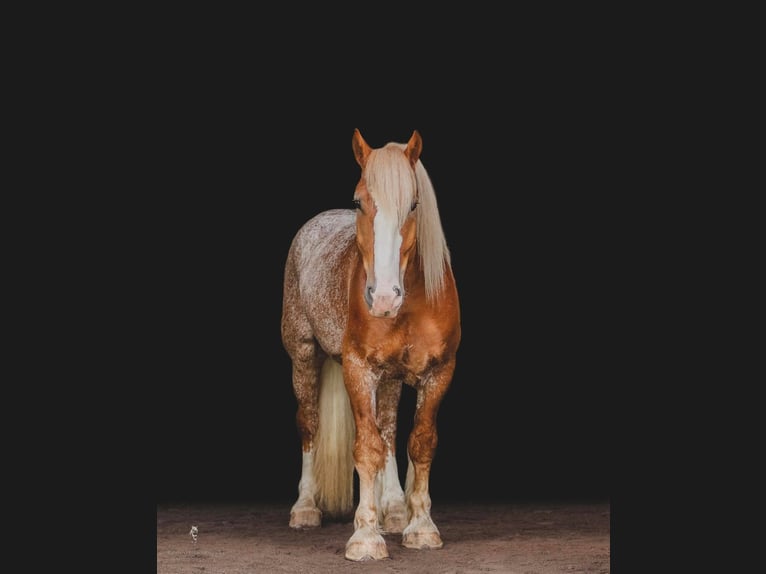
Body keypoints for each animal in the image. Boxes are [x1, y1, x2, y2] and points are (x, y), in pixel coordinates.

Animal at [282, 127, 462, 564]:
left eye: (413, 204)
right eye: (358, 201)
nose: (382, 298)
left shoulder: (439, 372)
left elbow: (418, 443)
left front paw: (420, 526)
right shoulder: (358, 368)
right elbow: (365, 447)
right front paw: (365, 536)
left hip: (392, 377)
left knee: (389, 430)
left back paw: (394, 509)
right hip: (304, 356)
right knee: (309, 424)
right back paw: (305, 508)